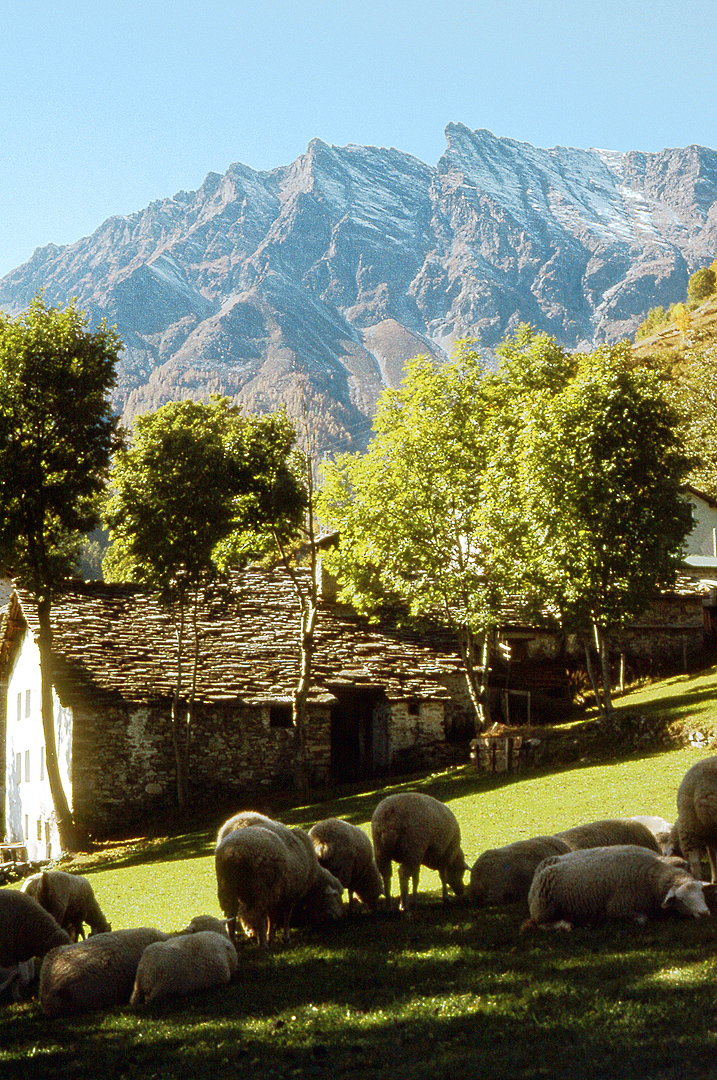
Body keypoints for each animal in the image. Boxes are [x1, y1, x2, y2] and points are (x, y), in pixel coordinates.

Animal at [520, 838, 712, 933]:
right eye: (682, 899)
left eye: (702, 894)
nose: (705, 914)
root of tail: (541, 870)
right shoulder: (617, 907)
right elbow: (642, 920)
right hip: (544, 910)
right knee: (541, 925)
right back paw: (564, 925)